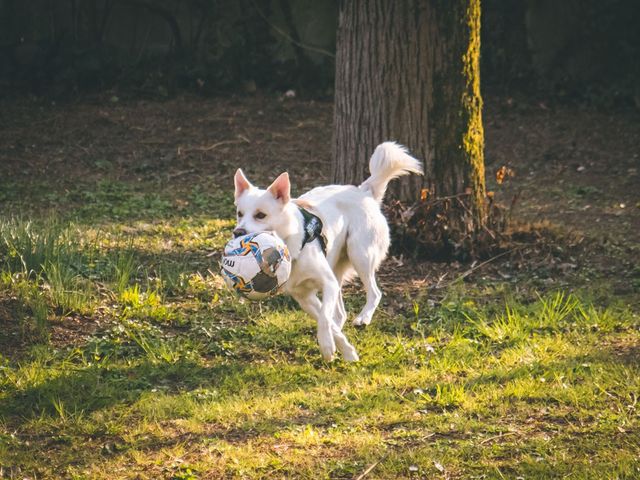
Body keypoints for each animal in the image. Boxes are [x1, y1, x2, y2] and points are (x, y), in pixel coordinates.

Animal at [232, 142, 422, 360]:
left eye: (260, 215)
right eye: (239, 214)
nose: (238, 232)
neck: (290, 244)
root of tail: (364, 191)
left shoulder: (327, 283)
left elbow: (324, 318)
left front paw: (328, 346)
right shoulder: (304, 297)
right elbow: (328, 321)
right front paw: (346, 351)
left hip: (359, 254)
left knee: (374, 293)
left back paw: (363, 318)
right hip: (338, 269)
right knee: (340, 314)